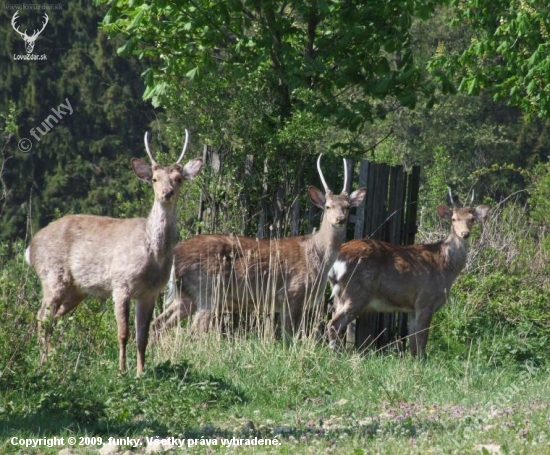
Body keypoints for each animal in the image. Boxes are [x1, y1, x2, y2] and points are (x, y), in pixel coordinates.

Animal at [25, 130, 203, 376]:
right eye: (154, 179)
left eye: (178, 179)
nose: (166, 193)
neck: (152, 254)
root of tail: (31, 246)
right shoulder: (121, 284)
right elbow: (123, 333)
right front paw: (121, 371)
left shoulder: (150, 293)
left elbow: (143, 336)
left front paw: (140, 372)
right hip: (52, 276)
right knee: (42, 317)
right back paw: (44, 362)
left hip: (76, 290)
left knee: (52, 317)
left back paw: (52, 357)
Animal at [153, 157, 368, 338]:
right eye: (328, 206)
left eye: (348, 207)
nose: (340, 219)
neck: (317, 255)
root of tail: (174, 256)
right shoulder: (293, 293)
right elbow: (290, 337)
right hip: (207, 287)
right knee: (193, 330)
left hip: (186, 296)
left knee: (159, 324)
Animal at [328, 191, 492, 358]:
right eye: (454, 219)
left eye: (472, 219)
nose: (465, 233)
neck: (446, 268)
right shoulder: (426, 299)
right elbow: (422, 339)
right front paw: (421, 361)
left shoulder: (412, 308)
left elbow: (413, 343)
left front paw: (411, 360)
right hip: (356, 292)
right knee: (334, 324)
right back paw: (333, 355)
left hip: (340, 294)